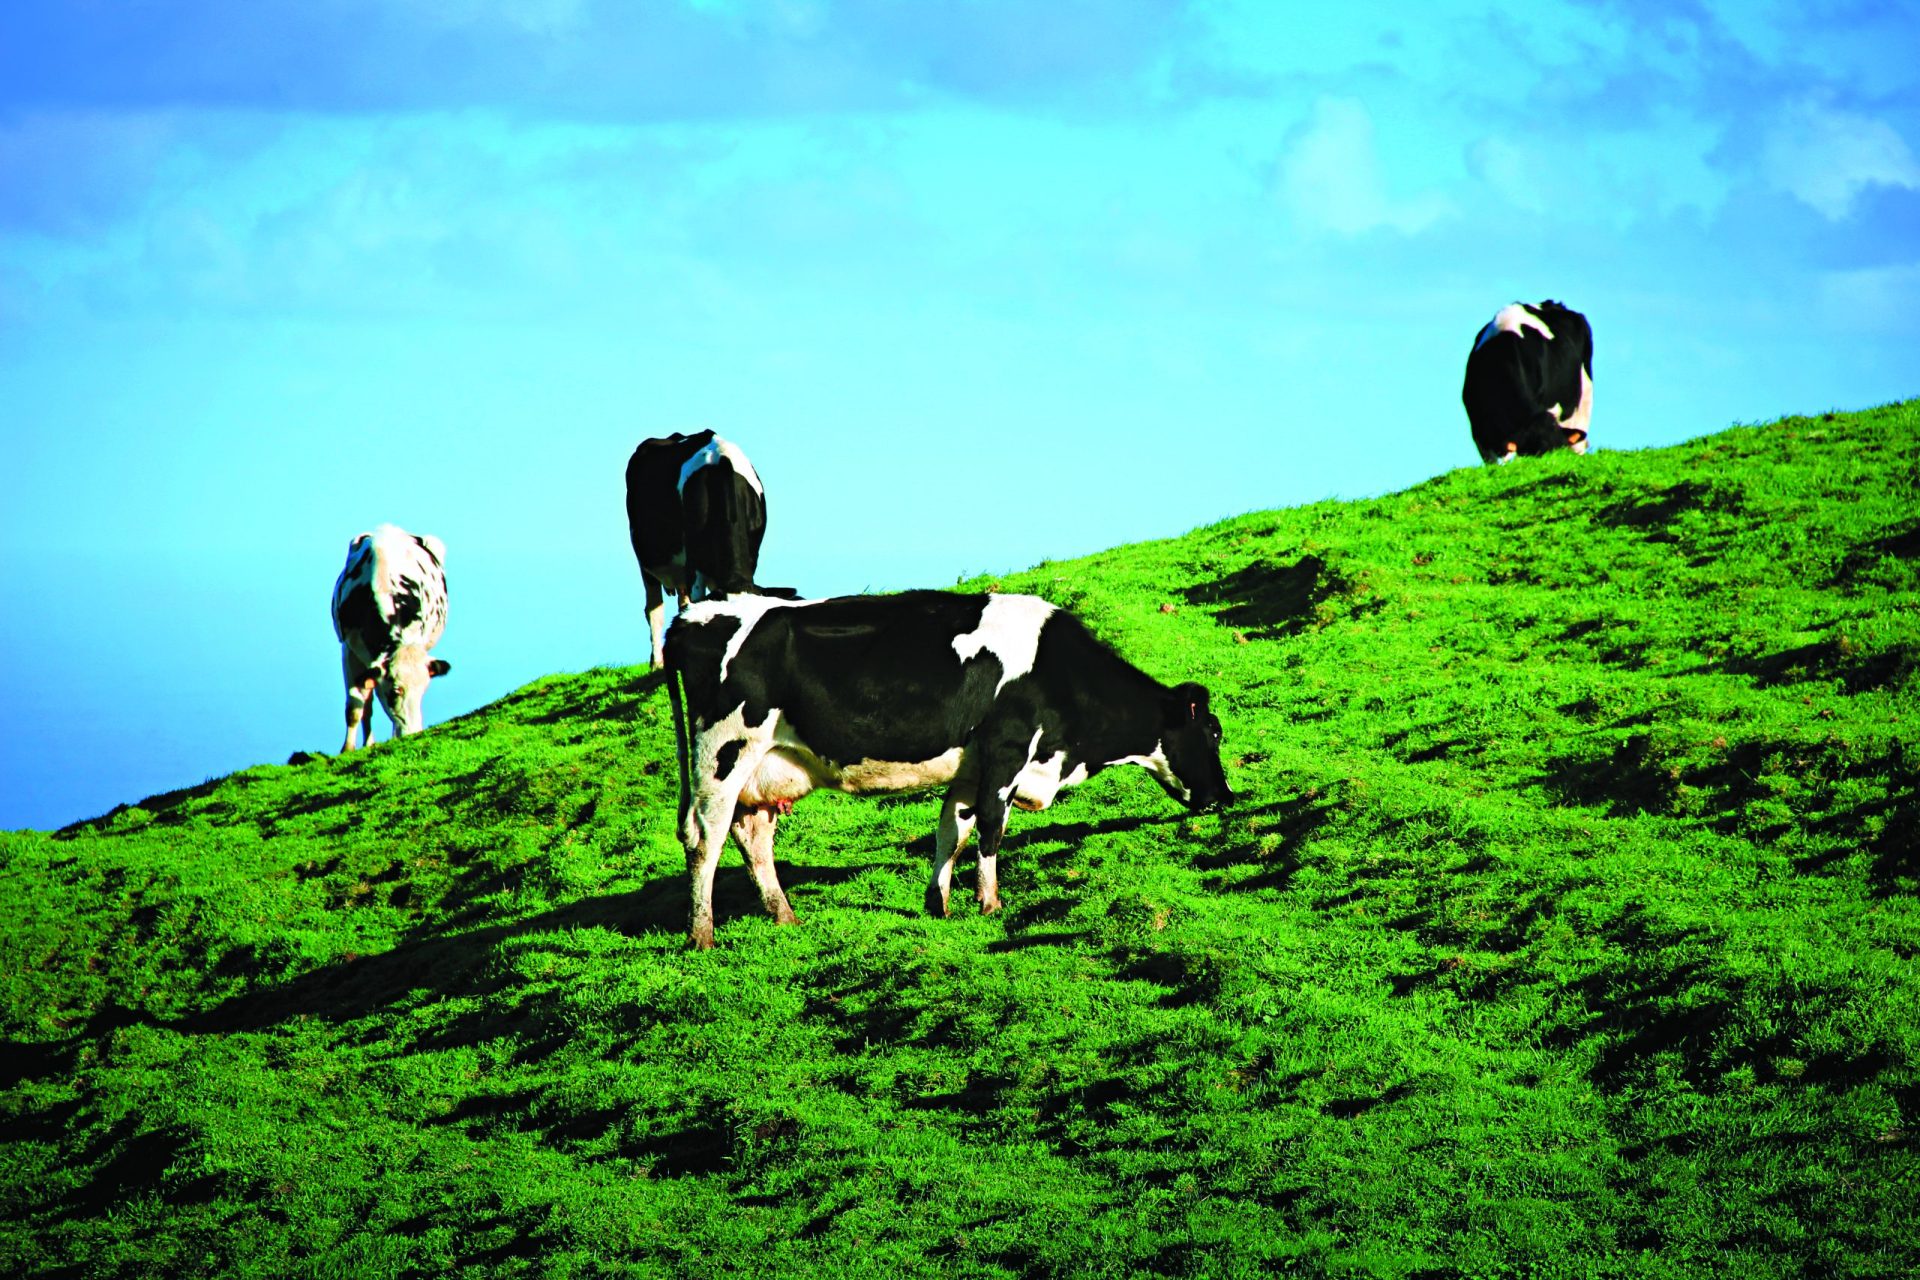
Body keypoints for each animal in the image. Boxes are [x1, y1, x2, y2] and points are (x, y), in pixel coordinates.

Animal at [332, 525, 451, 756]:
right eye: (395, 690)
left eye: (424, 689)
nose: (412, 733)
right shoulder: (349, 649)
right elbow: (355, 707)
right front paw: (348, 749)